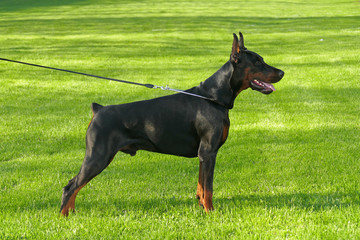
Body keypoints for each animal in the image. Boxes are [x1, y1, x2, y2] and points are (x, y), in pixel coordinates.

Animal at [59, 31, 284, 216]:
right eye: (257, 62)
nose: (282, 72)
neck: (213, 97)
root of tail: (98, 109)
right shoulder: (209, 151)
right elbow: (209, 187)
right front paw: (210, 212)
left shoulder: (203, 155)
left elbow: (201, 186)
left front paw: (201, 207)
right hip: (98, 156)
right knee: (70, 187)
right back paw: (64, 216)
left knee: (74, 186)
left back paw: (71, 213)